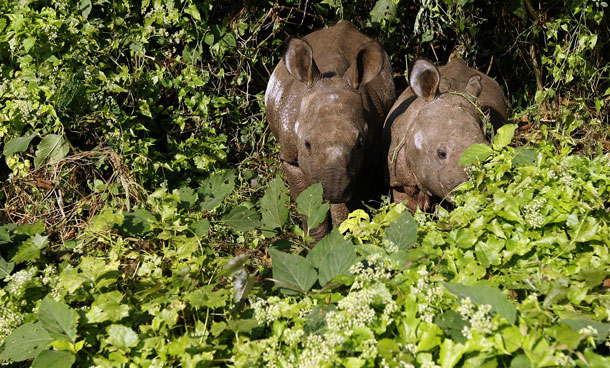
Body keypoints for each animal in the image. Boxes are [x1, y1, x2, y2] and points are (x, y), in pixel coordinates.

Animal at [264, 20, 392, 239]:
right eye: (306, 144)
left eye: (360, 144)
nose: (332, 191)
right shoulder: (291, 158)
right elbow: (307, 204)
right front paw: (316, 243)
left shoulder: (365, 161)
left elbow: (346, 208)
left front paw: (342, 239)